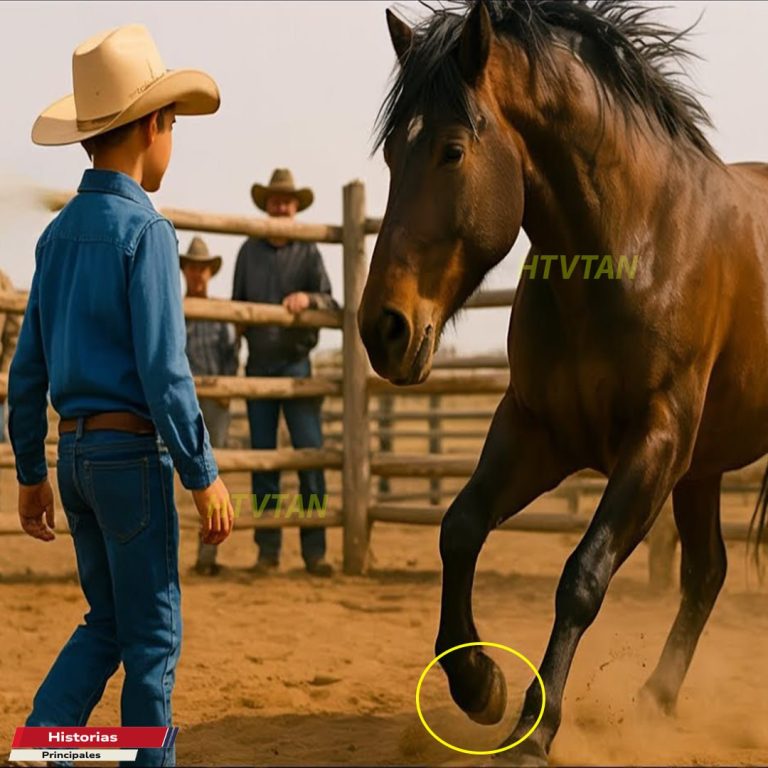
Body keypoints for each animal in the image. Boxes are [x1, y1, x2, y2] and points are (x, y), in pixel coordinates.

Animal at [357, 0, 768, 763]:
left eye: (452, 150)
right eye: (394, 151)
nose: (383, 329)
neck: (634, 246)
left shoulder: (656, 444)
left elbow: (582, 575)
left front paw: (535, 726)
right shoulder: (537, 430)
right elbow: (459, 528)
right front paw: (479, 684)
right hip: (703, 470)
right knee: (708, 571)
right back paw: (653, 701)